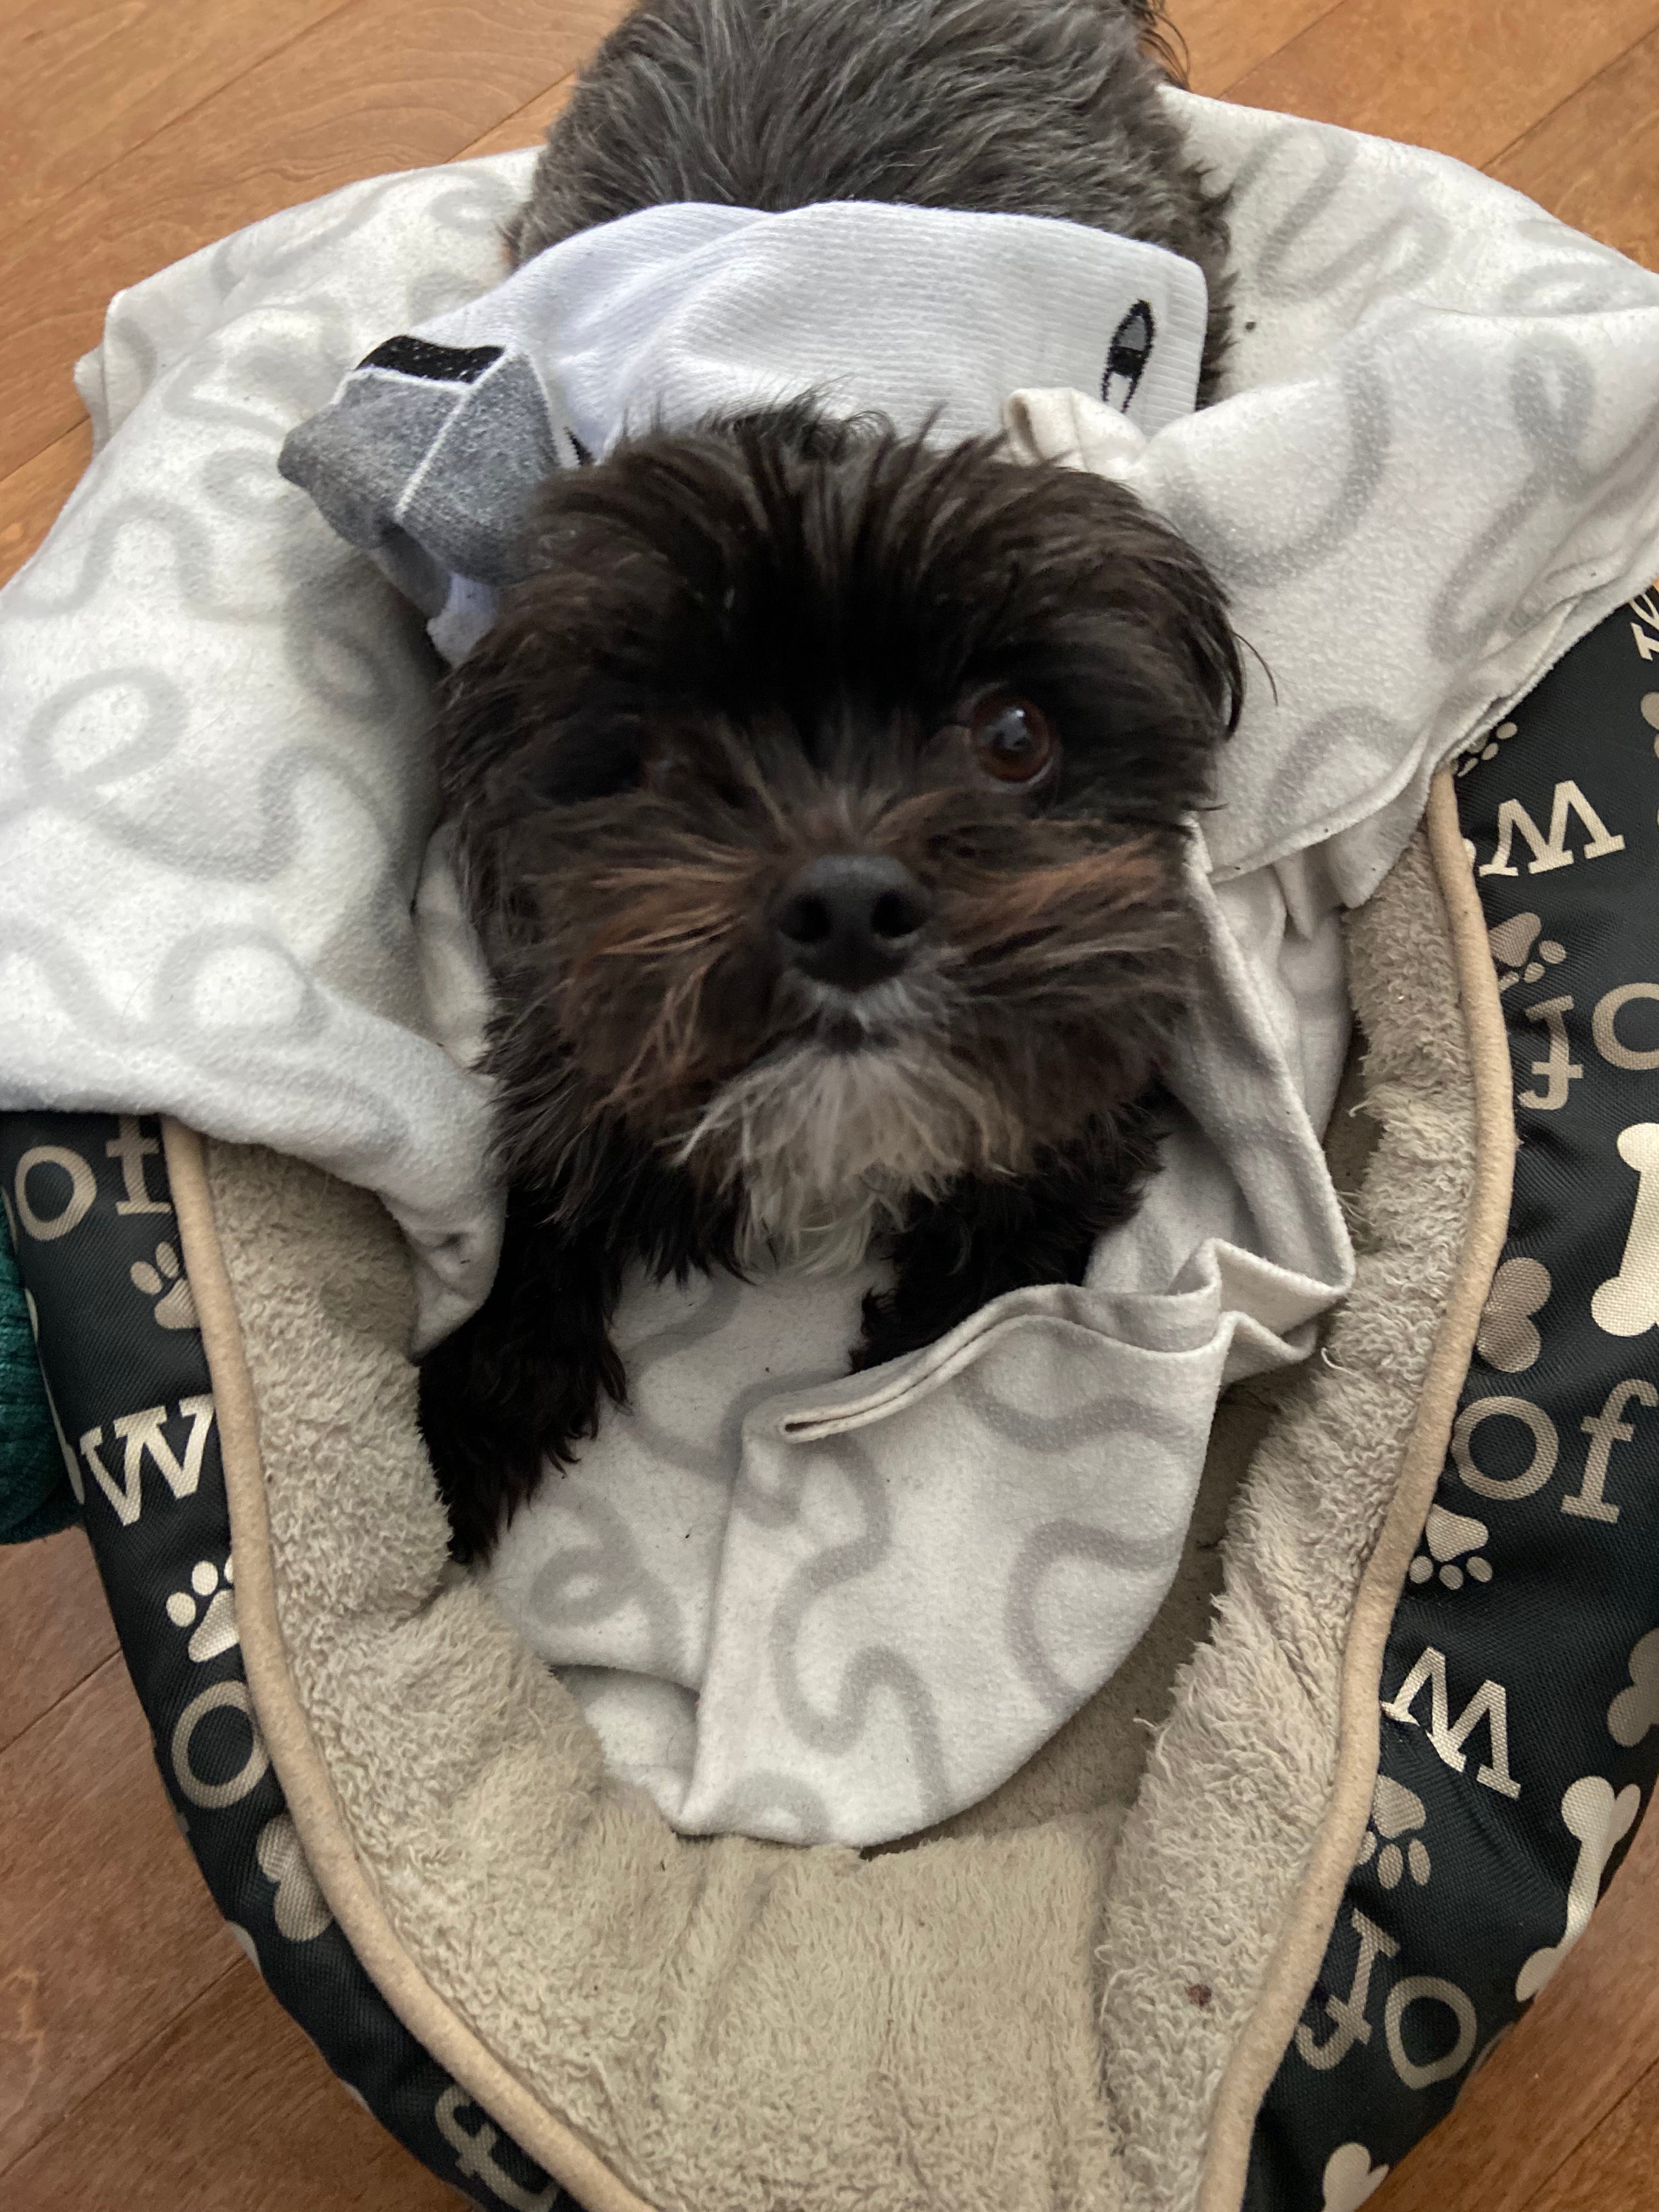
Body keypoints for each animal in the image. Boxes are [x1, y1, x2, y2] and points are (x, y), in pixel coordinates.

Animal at [417, 0, 1242, 1561]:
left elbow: (977, 1304)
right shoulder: (573, 1018)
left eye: (1015, 734)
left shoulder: (1082, 1088)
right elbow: (543, 1186)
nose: (850, 903)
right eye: (661, 754)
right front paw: (477, 1408)